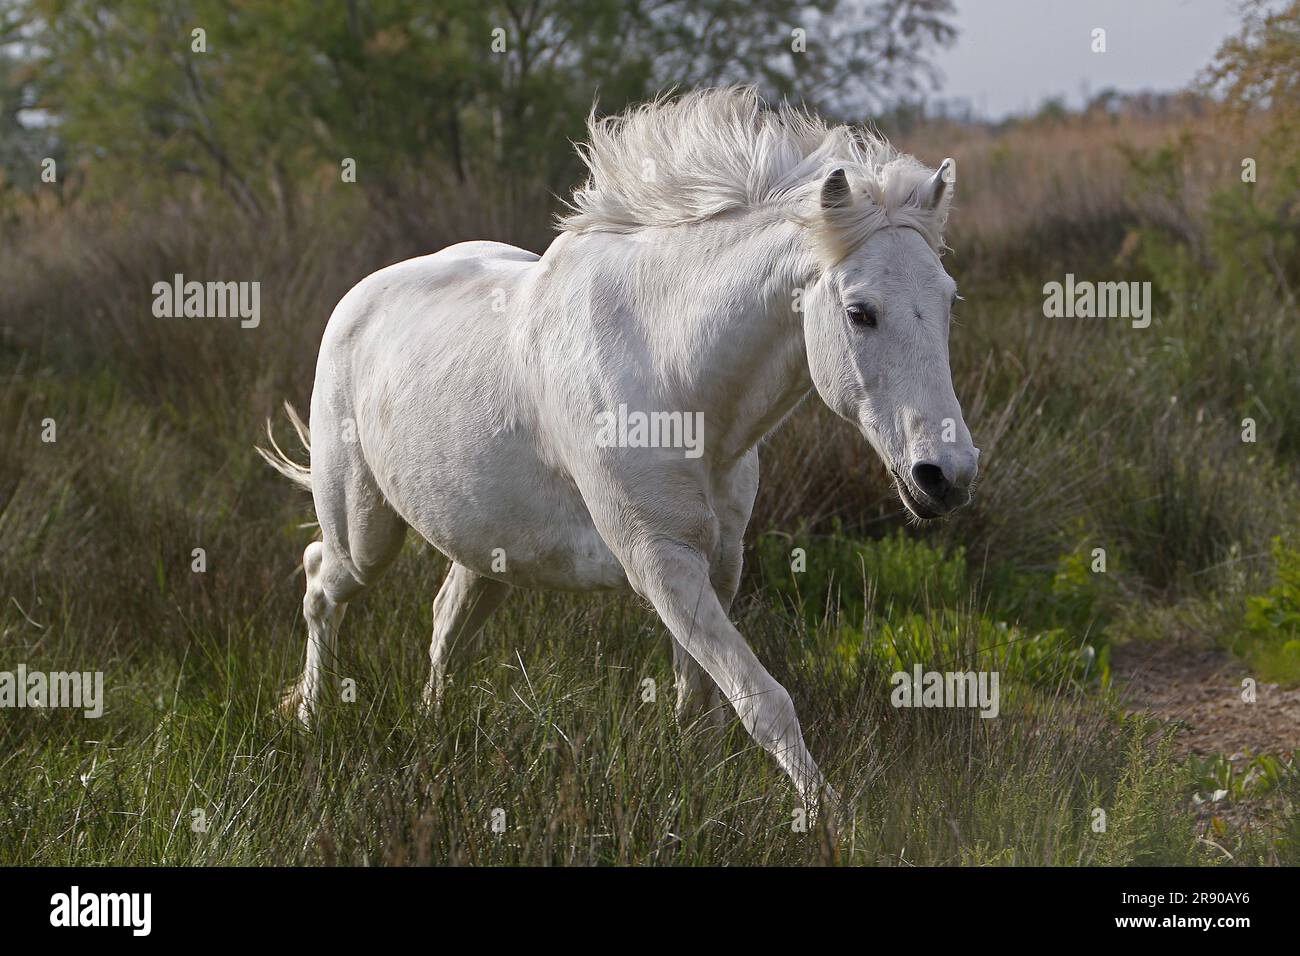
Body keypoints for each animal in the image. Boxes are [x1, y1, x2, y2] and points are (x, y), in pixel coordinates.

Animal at [261, 89, 977, 811]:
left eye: (949, 301)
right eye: (860, 312)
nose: (945, 476)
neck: (673, 375)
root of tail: (356, 301)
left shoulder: (718, 563)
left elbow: (698, 705)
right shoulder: (660, 560)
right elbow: (764, 701)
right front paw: (825, 816)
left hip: (486, 553)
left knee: (444, 630)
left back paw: (432, 734)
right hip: (366, 533)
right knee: (321, 580)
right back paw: (311, 717)